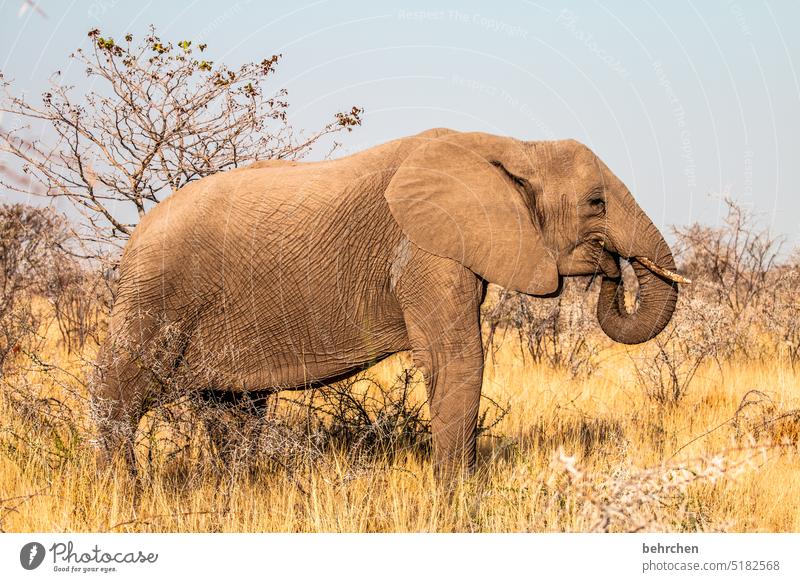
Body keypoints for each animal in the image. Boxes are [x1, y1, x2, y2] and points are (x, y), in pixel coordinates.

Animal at [92, 130, 688, 482]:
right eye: (596, 203)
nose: (611, 267)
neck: (515, 145)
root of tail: (136, 232)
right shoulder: (425, 250)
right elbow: (455, 361)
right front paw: (457, 498)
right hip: (155, 293)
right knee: (120, 390)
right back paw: (123, 489)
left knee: (233, 408)